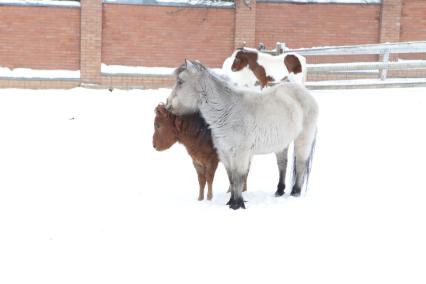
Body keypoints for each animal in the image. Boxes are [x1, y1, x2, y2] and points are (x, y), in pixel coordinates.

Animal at [168, 60, 318, 210]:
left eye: (180, 81)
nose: (168, 104)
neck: (228, 111)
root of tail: (305, 93)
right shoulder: (225, 154)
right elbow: (231, 179)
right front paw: (231, 202)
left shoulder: (241, 154)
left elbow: (238, 178)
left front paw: (237, 204)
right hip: (281, 144)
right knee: (282, 164)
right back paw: (279, 191)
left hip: (303, 140)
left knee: (300, 164)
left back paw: (295, 192)